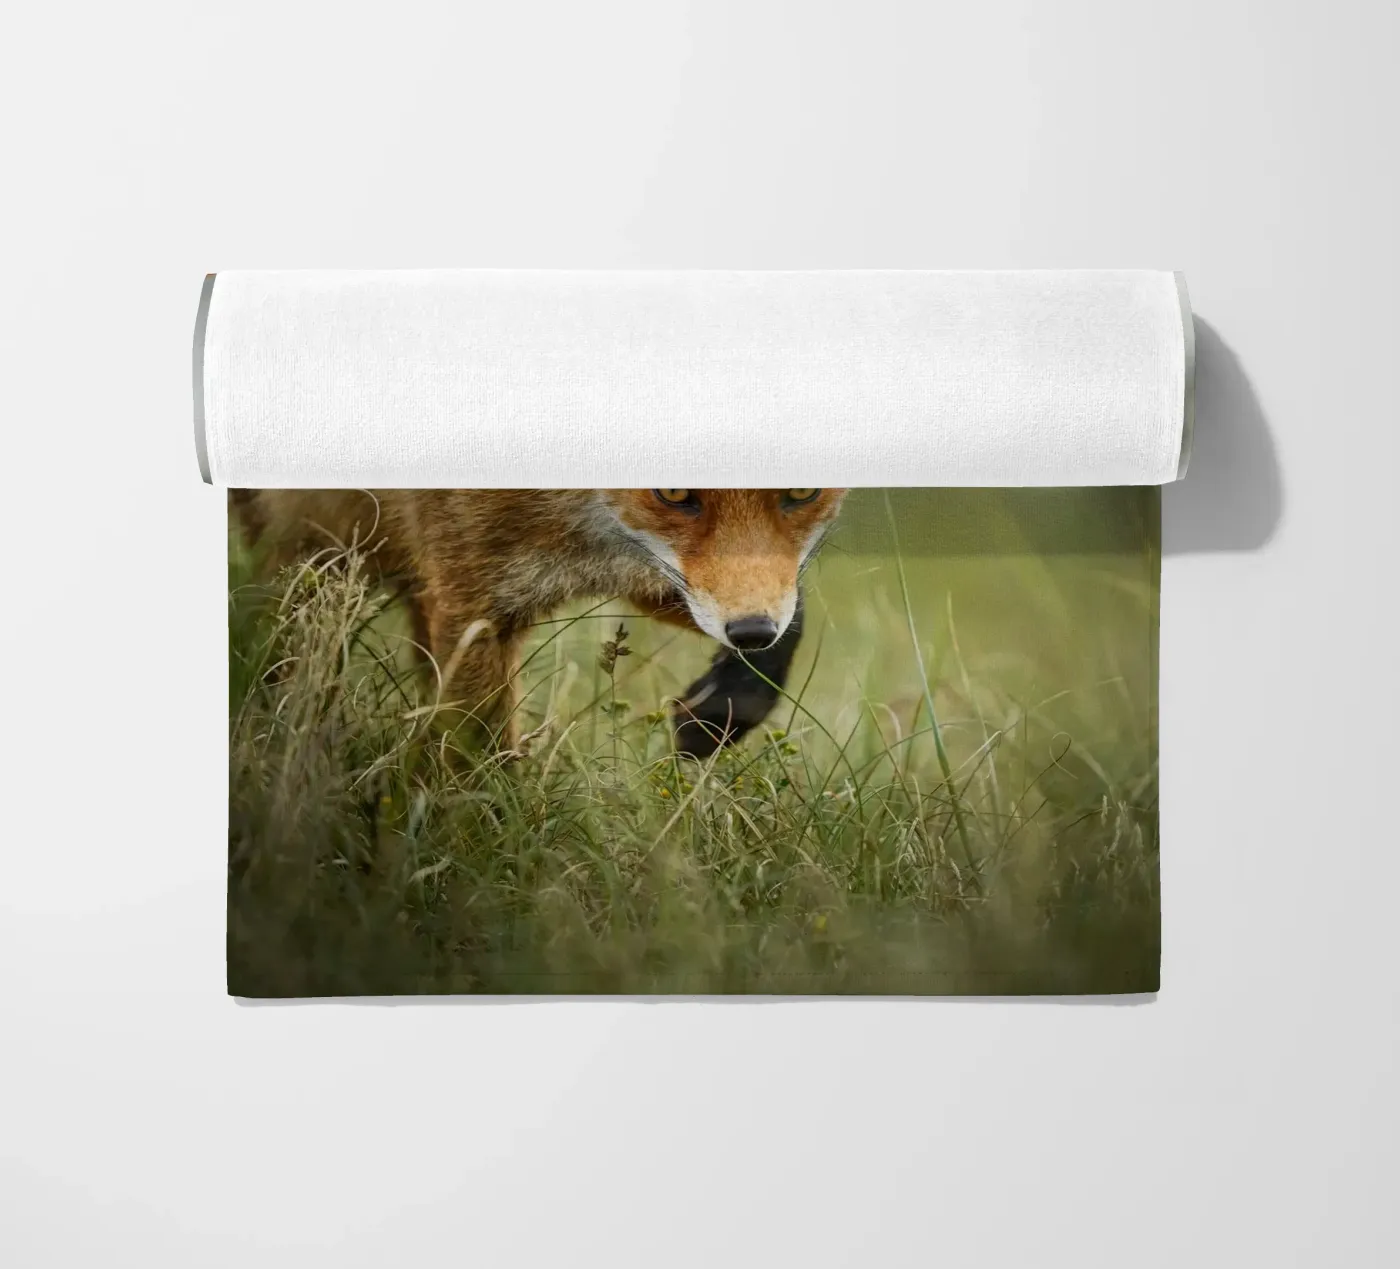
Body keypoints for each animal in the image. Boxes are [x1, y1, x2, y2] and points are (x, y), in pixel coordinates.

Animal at [232, 488, 847, 758]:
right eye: (674, 492)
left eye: (801, 492)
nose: (750, 632)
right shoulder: (473, 601)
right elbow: (479, 755)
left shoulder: (652, 572)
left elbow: (789, 625)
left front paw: (713, 715)